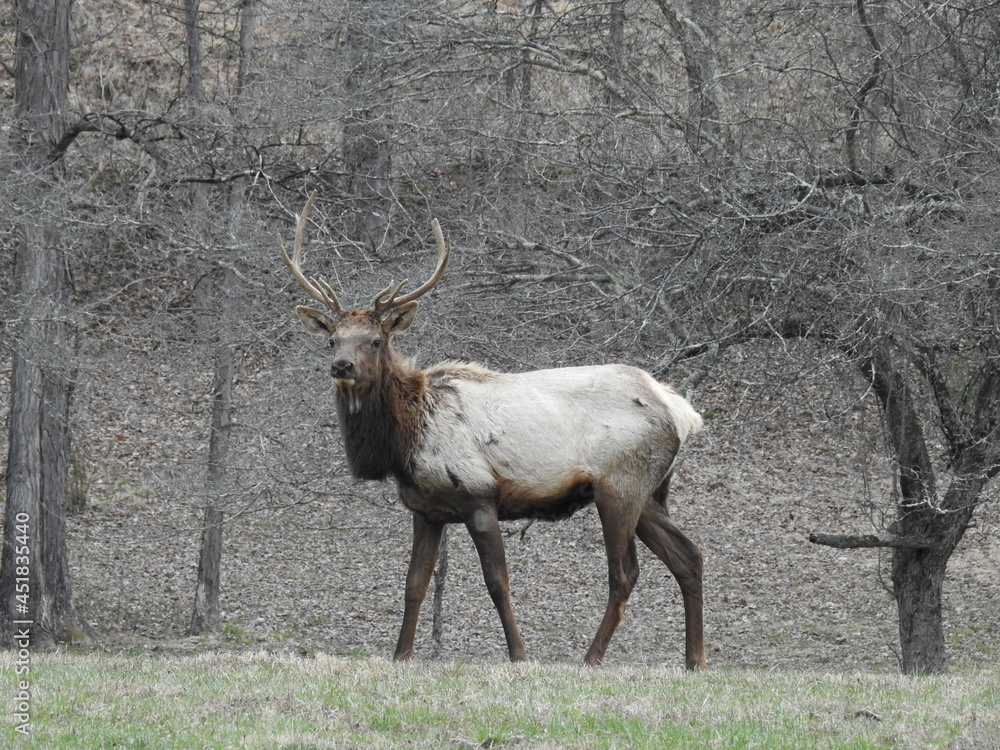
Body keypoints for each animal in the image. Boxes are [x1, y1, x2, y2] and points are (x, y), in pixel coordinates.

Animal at [281, 193, 707, 668]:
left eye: (375, 340)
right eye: (332, 340)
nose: (342, 366)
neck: (404, 442)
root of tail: (680, 410)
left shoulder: (479, 496)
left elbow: (497, 583)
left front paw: (519, 655)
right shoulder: (426, 511)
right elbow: (414, 584)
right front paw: (401, 655)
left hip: (620, 485)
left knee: (625, 572)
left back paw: (591, 659)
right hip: (649, 493)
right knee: (689, 557)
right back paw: (694, 660)